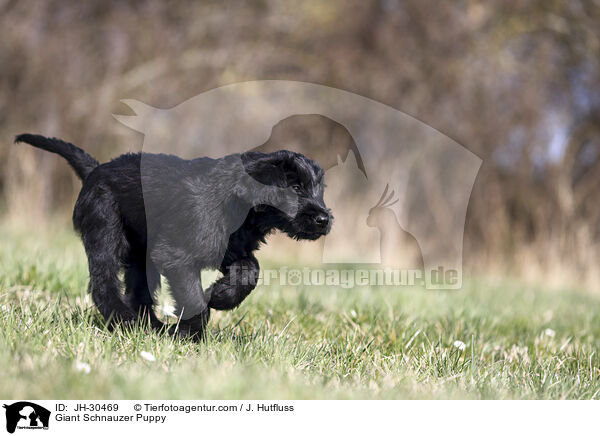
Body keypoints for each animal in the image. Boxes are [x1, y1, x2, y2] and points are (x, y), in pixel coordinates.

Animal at [15, 135, 332, 338]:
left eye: (319, 189)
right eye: (295, 187)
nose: (324, 219)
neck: (238, 201)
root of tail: (96, 170)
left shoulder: (231, 248)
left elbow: (249, 270)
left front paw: (220, 296)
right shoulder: (176, 256)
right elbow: (194, 300)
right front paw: (188, 334)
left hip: (140, 255)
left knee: (138, 292)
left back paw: (150, 327)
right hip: (105, 232)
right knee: (104, 283)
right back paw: (126, 323)